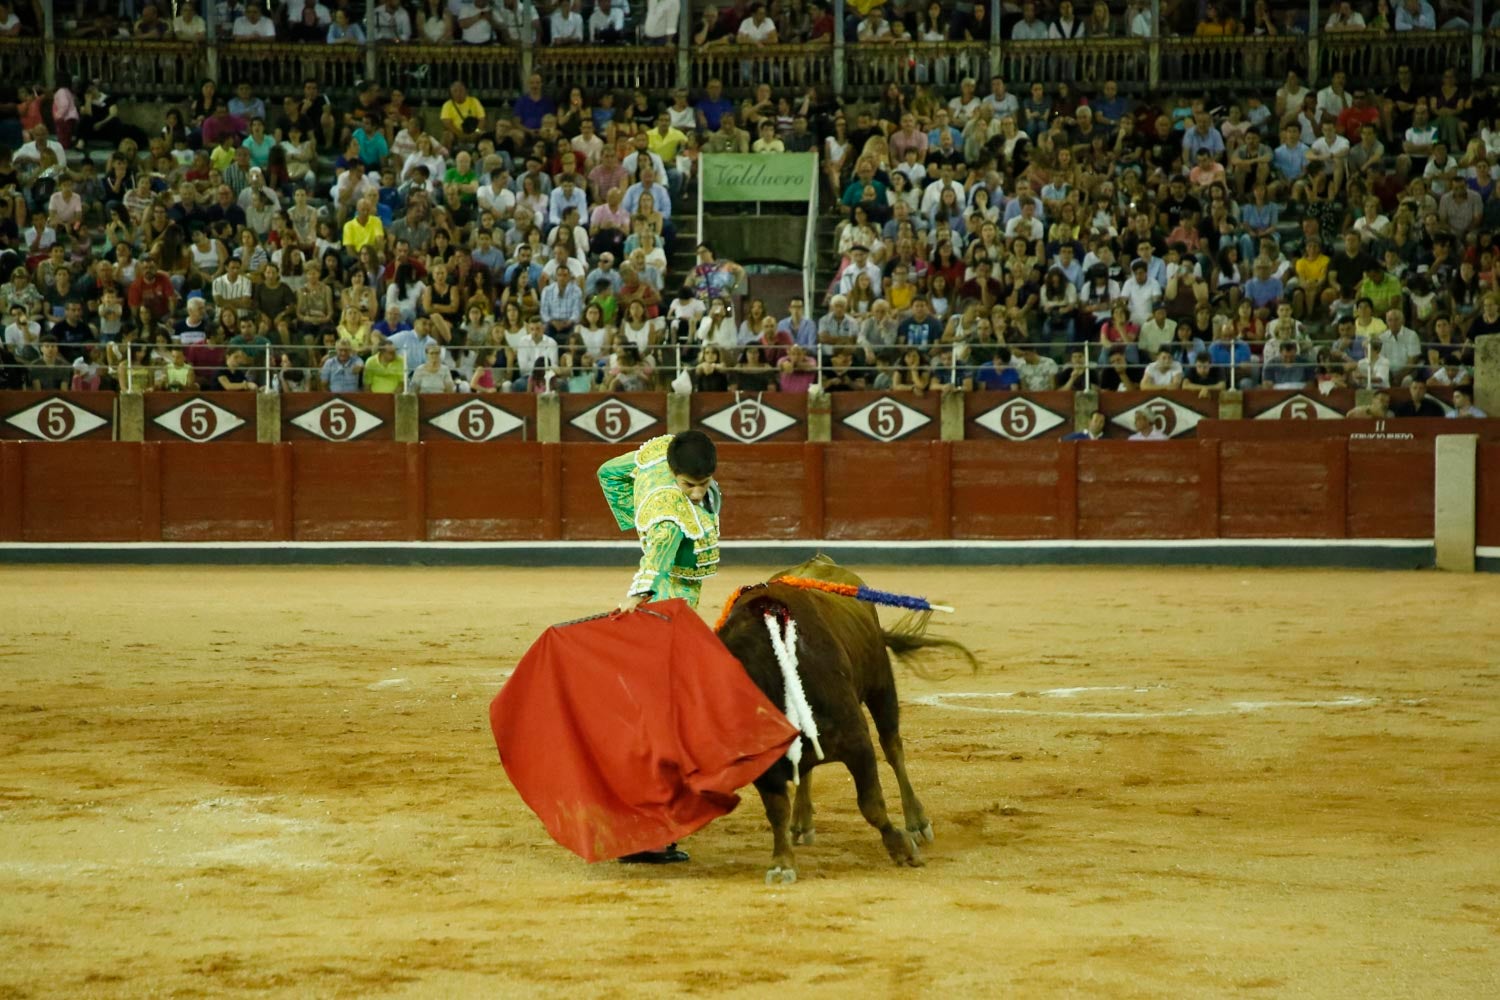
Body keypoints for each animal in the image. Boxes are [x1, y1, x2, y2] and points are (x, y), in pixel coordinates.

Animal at [711, 554, 972, 881]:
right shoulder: (766, 770)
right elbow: (777, 811)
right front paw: (782, 862)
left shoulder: (857, 740)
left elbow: (871, 803)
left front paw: (902, 847)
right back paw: (802, 822)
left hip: (882, 686)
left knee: (893, 749)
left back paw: (917, 822)